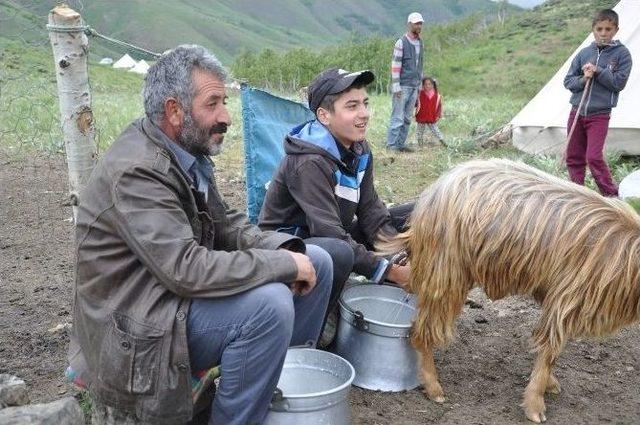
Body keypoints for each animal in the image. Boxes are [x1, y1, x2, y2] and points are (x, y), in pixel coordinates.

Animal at [378, 158, 640, 420]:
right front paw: (535, 404)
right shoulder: (566, 300)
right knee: (421, 331)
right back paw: (434, 387)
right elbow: (550, 350)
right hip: (446, 275)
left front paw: (548, 385)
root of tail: (432, 194)